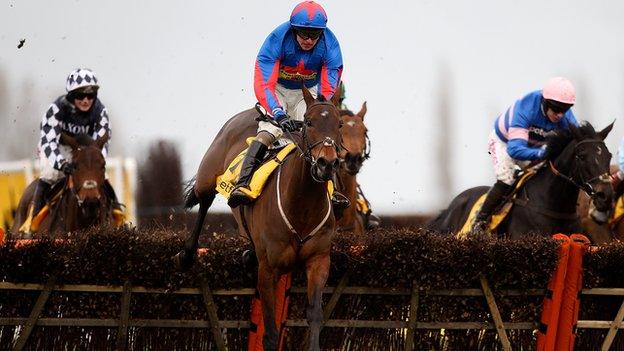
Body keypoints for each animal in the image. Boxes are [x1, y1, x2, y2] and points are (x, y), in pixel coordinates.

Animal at [174, 86, 342, 351]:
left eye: (340, 124)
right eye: (309, 122)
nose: (327, 163)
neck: (301, 208)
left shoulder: (319, 261)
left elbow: (315, 315)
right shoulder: (268, 270)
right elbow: (270, 332)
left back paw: (248, 253)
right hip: (207, 177)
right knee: (204, 202)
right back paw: (187, 254)